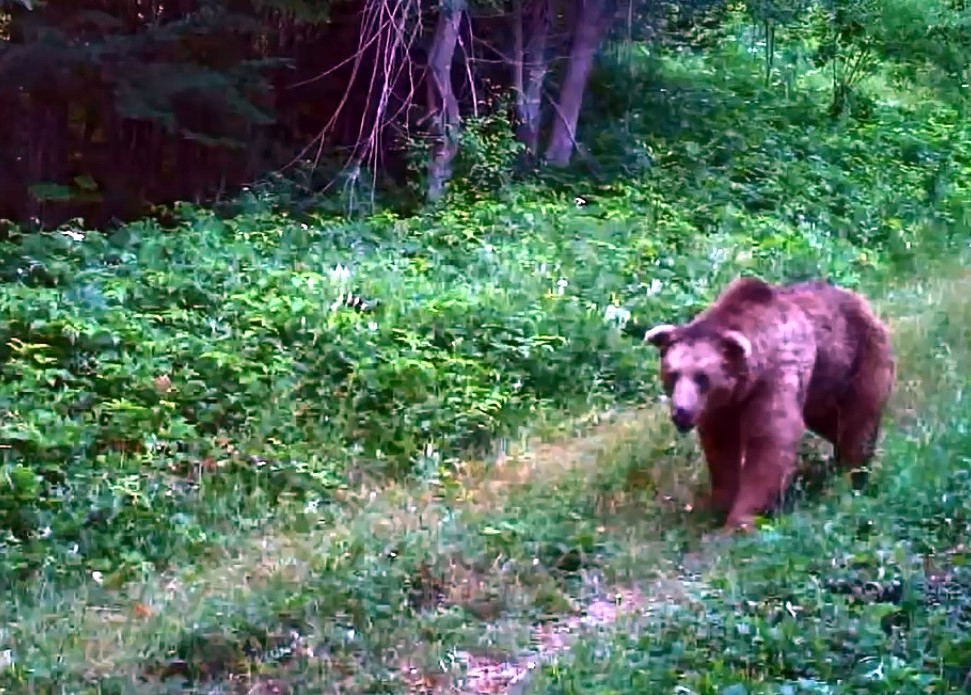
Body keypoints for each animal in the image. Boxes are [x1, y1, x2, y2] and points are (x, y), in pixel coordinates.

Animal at [644, 276, 896, 532]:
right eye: (673, 374)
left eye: (702, 377)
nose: (681, 412)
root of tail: (862, 302)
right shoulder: (722, 406)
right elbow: (721, 447)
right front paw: (721, 505)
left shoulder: (775, 377)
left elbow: (770, 440)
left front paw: (739, 521)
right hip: (820, 390)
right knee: (834, 425)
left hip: (858, 362)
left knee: (857, 426)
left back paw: (851, 480)